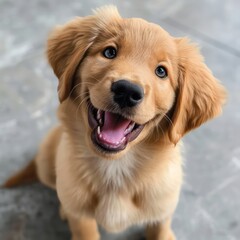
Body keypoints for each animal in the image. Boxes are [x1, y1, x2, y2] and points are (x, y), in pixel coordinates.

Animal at [3, 5, 226, 240]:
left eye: (161, 71)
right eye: (109, 52)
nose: (127, 91)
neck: (116, 168)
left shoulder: (162, 211)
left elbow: (161, 231)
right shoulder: (81, 219)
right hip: (47, 163)